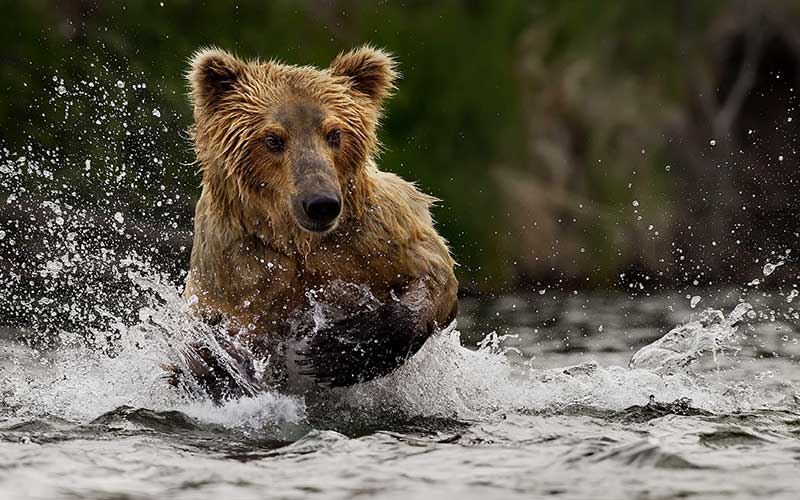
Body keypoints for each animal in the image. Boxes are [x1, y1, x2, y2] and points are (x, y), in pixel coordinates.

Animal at [178, 45, 458, 401]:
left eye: (335, 133)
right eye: (273, 139)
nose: (321, 204)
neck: (297, 239)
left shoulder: (372, 237)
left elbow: (433, 272)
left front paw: (335, 351)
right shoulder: (237, 267)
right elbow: (214, 345)